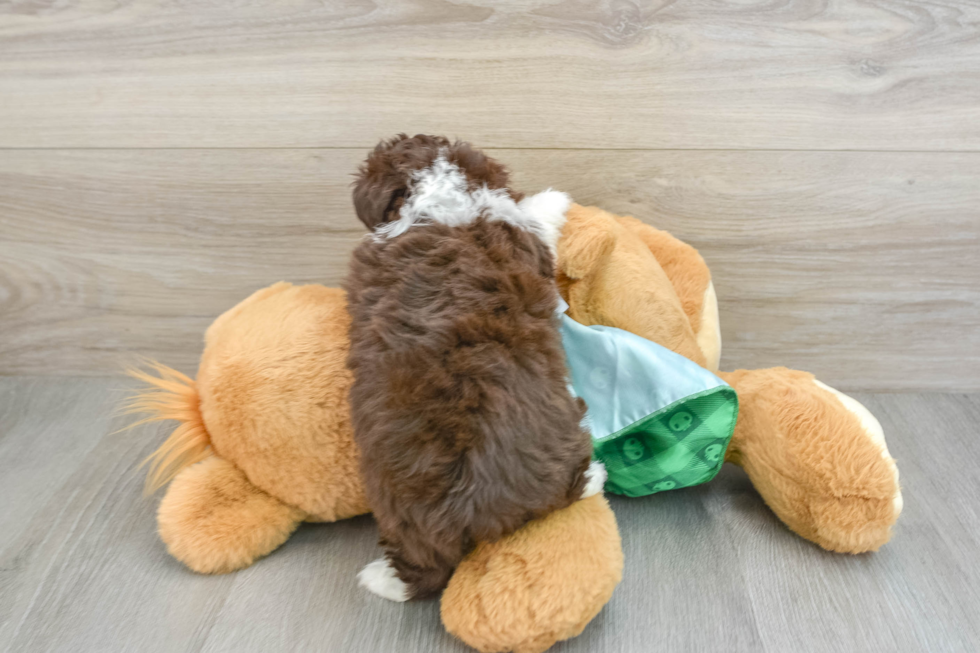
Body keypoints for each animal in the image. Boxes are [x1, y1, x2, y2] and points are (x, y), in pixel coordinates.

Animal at [344, 135, 604, 600]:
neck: (436, 196)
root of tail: (465, 505)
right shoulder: (526, 239)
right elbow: (536, 217)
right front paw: (553, 197)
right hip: (566, 441)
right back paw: (596, 477)